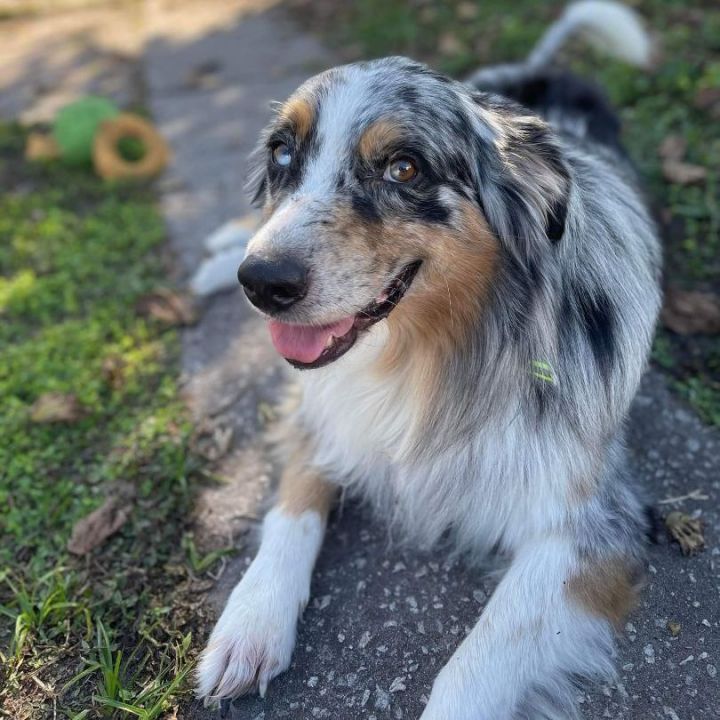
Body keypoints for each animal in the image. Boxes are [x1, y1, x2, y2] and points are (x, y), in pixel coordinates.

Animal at [194, 2, 660, 716]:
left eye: (404, 169)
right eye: (282, 152)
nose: (261, 283)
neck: (423, 355)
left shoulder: (592, 527)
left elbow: (472, 668)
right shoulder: (322, 411)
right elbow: (293, 508)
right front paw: (248, 624)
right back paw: (217, 254)